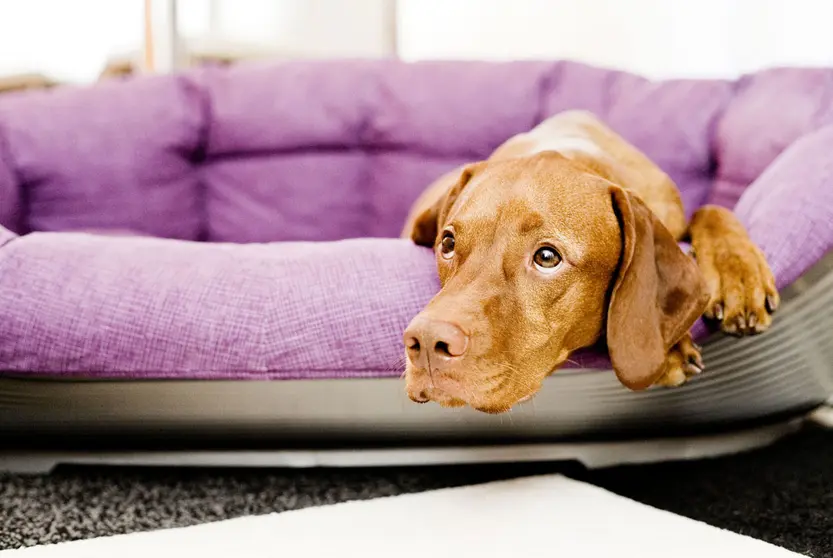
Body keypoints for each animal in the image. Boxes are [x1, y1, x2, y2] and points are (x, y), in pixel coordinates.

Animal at [400, 110, 776, 416]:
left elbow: (711, 209)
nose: (427, 343)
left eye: (547, 257)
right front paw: (669, 349)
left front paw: (738, 275)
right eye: (447, 243)